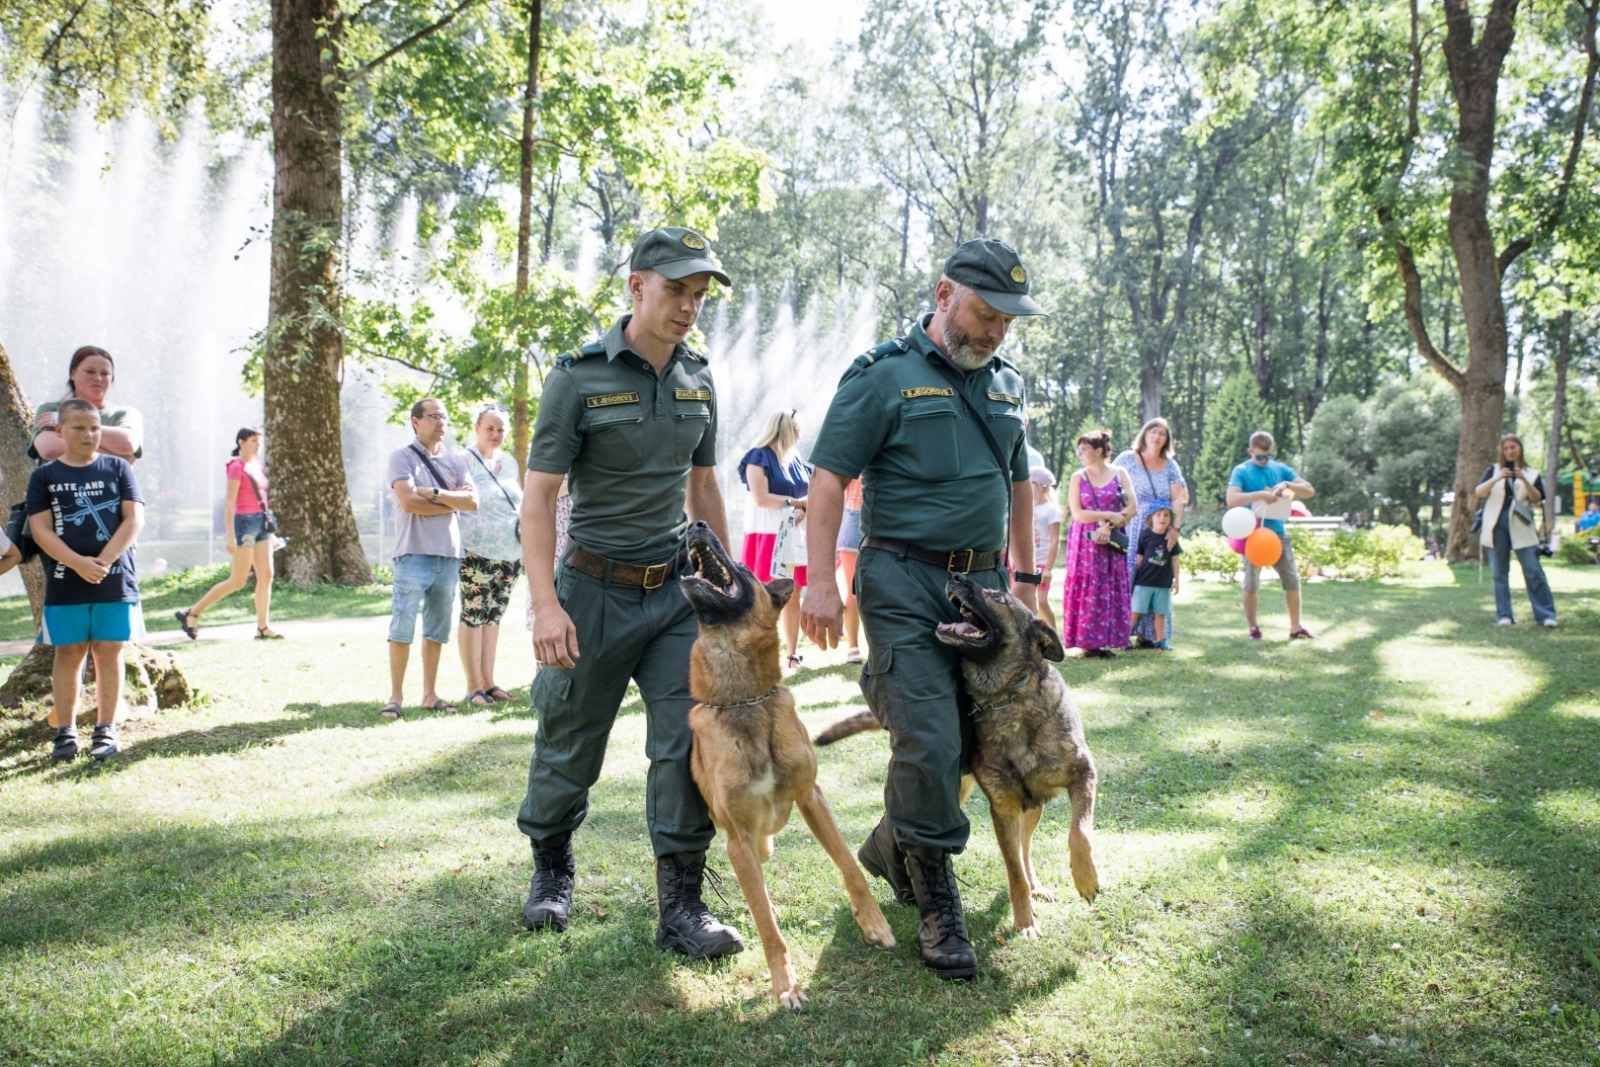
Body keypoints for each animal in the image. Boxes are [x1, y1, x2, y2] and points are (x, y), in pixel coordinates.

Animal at [678, 524, 896, 1011]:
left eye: (741, 566)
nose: (696, 524)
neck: (745, 701)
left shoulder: (811, 797)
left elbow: (851, 868)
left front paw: (874, 923)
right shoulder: (738, 839)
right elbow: (767, 924)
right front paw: (787, 985)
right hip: (744, 846)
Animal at [819, 575, 1094, 934]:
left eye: (999, 598)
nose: (957, 577)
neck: (1005, 696)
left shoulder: (1083, 774)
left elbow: (1080, 831)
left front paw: (1086, 877)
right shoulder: (1004, 809)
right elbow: (1014, 873)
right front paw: (1024, 921)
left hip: (1032, 807)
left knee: (1027, 847)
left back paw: (1039, 886)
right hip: (959, 789)